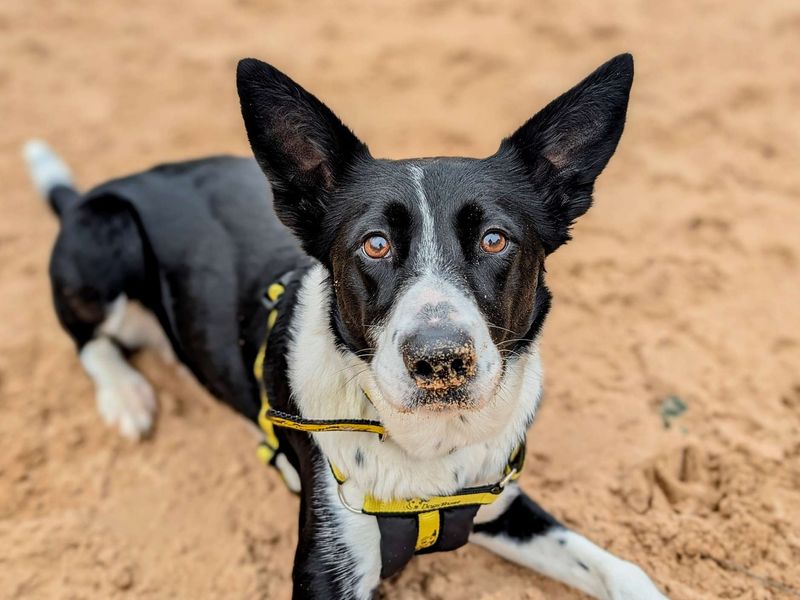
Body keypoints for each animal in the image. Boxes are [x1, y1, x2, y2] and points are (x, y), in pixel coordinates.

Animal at [23, 54, 668, 596]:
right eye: (374, 244)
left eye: (494, 240)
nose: (440, 360)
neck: (430, 449)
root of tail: (88, 193)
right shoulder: (329, 564)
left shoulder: (500, 500)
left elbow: (621, 569)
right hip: (107, 233)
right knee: (88, 339)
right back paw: (126, 395)